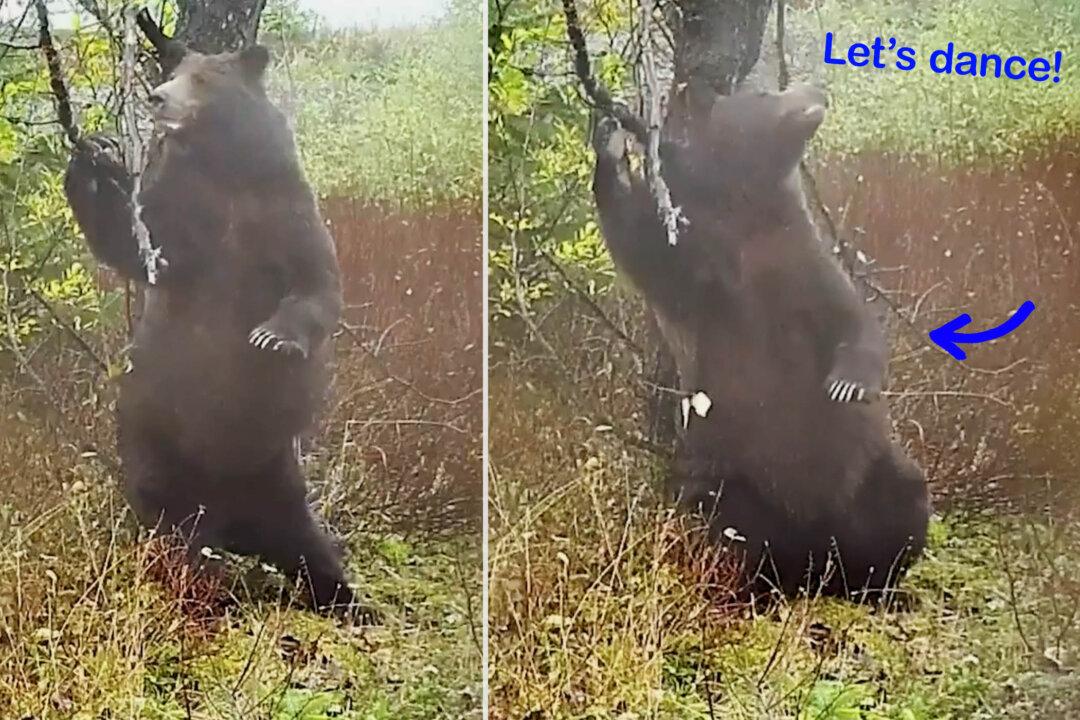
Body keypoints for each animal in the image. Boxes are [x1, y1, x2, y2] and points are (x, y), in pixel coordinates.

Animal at [63, 44, 361, 615]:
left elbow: (317, 282)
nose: (158, 97)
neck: (223, 171)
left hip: (275, 474)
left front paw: (272, 337)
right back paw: (202, 583)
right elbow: (141, 248)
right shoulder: (184, 217)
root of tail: (235, 526)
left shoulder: (283, 209)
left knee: (311, 547)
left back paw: (350, 601)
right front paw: (96, 155)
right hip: (158, 450)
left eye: (202, 78)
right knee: (174, 528)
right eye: (171, 73)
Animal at [591, 83, 932, 599]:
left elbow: (853, 322)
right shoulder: (704, 270)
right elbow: (643, 250)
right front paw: (609, 141)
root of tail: (815, 555)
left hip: (872, 474)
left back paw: (881, 585)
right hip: (733, 478)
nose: (816, 88)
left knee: (904, 502)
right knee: (726, 521)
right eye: (766, 92)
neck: (748, 217)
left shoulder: (802, 266)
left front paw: (848, 384)